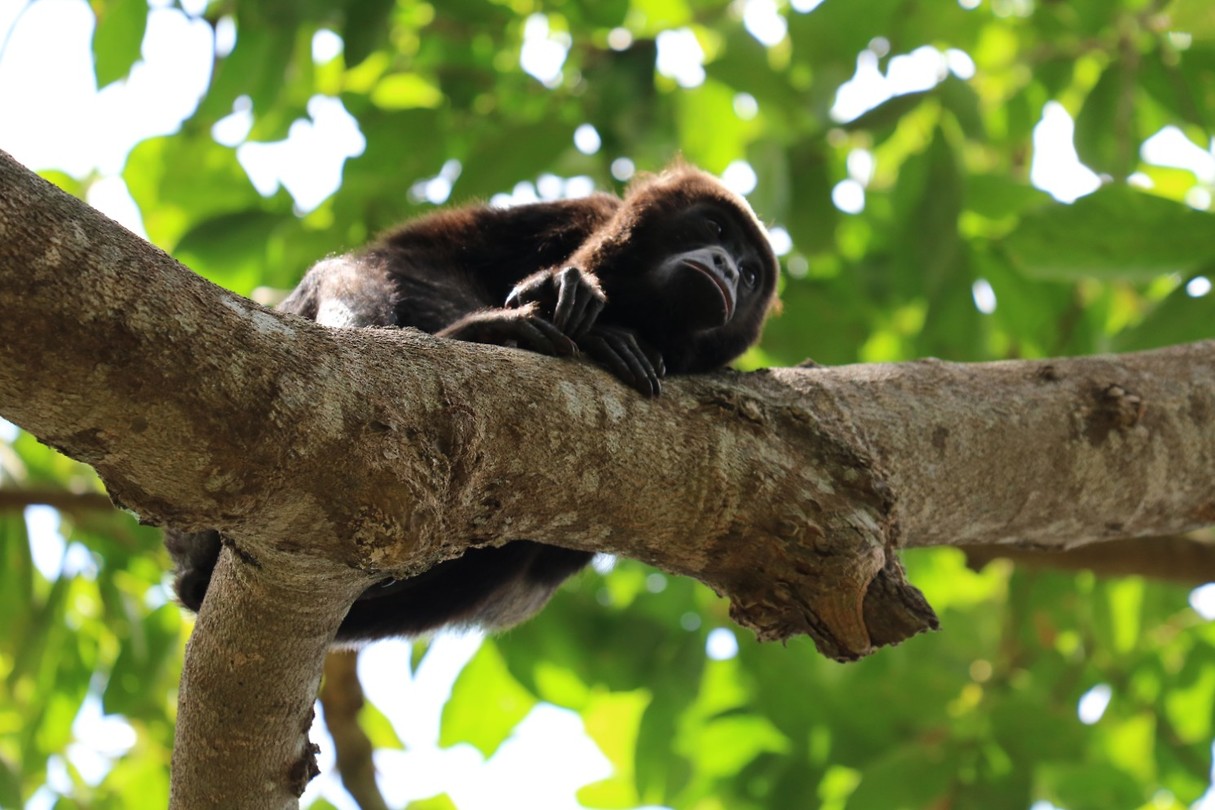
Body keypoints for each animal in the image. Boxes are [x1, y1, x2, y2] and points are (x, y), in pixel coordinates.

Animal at [166, 163, 779, 642]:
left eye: (751, 274)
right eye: (713, 227)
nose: (727, 267)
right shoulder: (579, 210)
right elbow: (410, 257)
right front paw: (564, 300)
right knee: (351, 279)